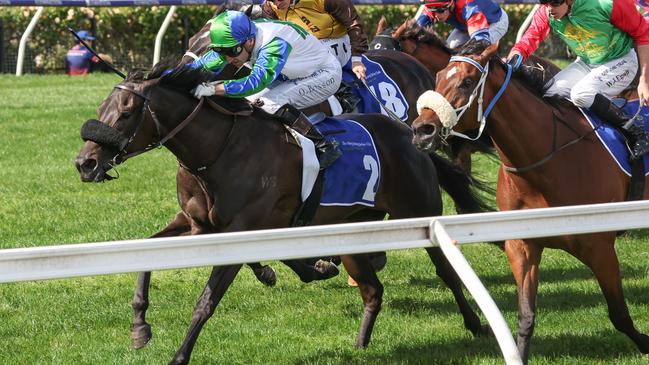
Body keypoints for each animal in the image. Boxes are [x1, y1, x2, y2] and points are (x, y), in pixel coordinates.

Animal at [74, 59, 492, 362]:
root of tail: (411, 136)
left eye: (126, 112)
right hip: (353, 229)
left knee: (447, 272)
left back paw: (476, 326)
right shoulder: (195, 225)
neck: (218, 149)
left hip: (417, 212)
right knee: (373, 289)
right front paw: (139, 326)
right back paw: (359, 345)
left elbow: (205, 303)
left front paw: (179, 356)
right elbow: (145, 257)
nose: (85, 163)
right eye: (101, 107)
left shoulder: (240, 233)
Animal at [410, 39, 648, 362]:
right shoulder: (522, 245)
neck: (545, 164)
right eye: (436, 78)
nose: (422, 130)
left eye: (467, 82)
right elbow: (525, 317)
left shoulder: (600, 247)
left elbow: (619, 314)